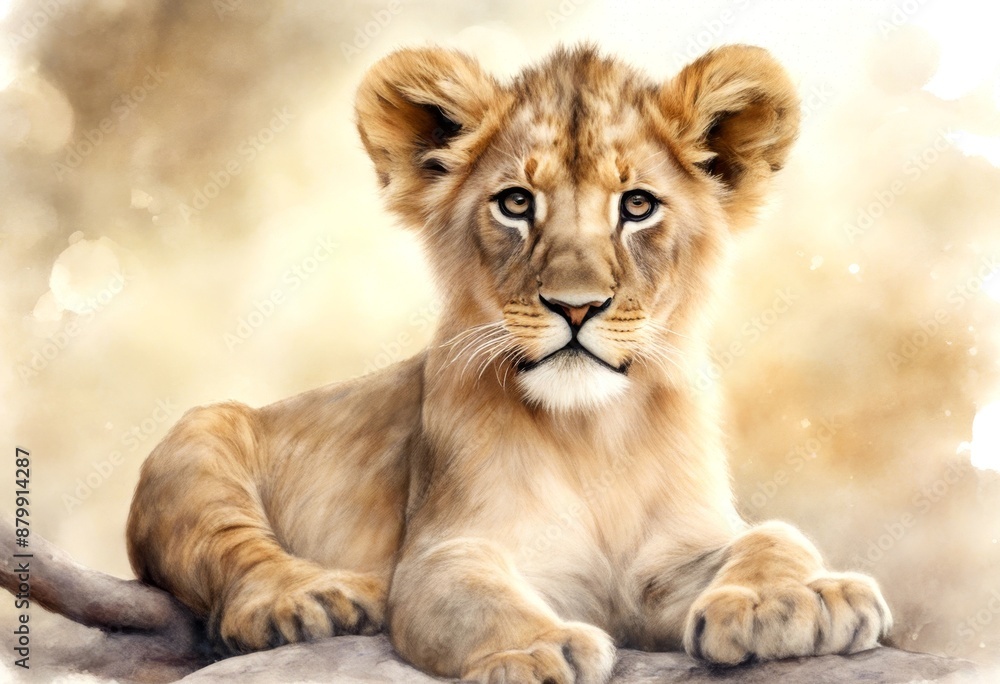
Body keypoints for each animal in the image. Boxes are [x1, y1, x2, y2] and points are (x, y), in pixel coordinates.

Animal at [126, 43, 892, 682]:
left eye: (638, 205)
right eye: (516, 203)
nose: (576, 307)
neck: (593, 435)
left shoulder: (658, 569)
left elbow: (772, 533)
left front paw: (790, 601)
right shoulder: (444, 548)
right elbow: (472, 588)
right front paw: (536, 650)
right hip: (197, 443)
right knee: (231, 550)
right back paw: (312, 599)